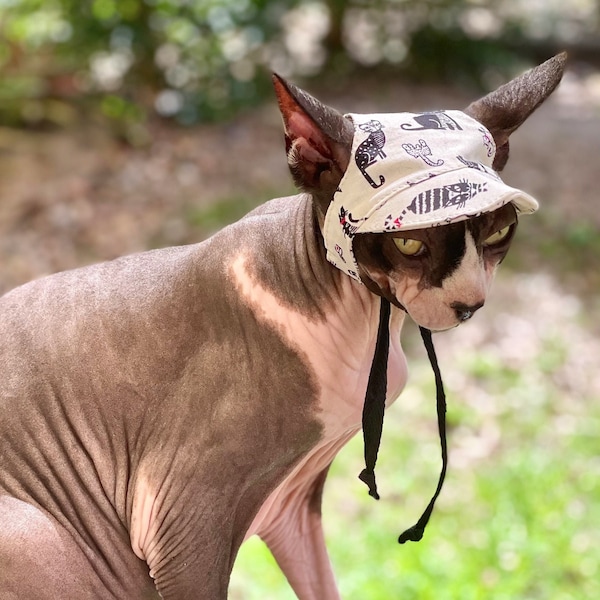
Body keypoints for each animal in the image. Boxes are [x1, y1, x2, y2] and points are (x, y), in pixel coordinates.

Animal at [0, 54, 564, 596]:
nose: (471, 304)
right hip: (46, 538)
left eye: (499, 233)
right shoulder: (183, 527)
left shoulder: (291, 506)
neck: (364, 323)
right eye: (409, 243)